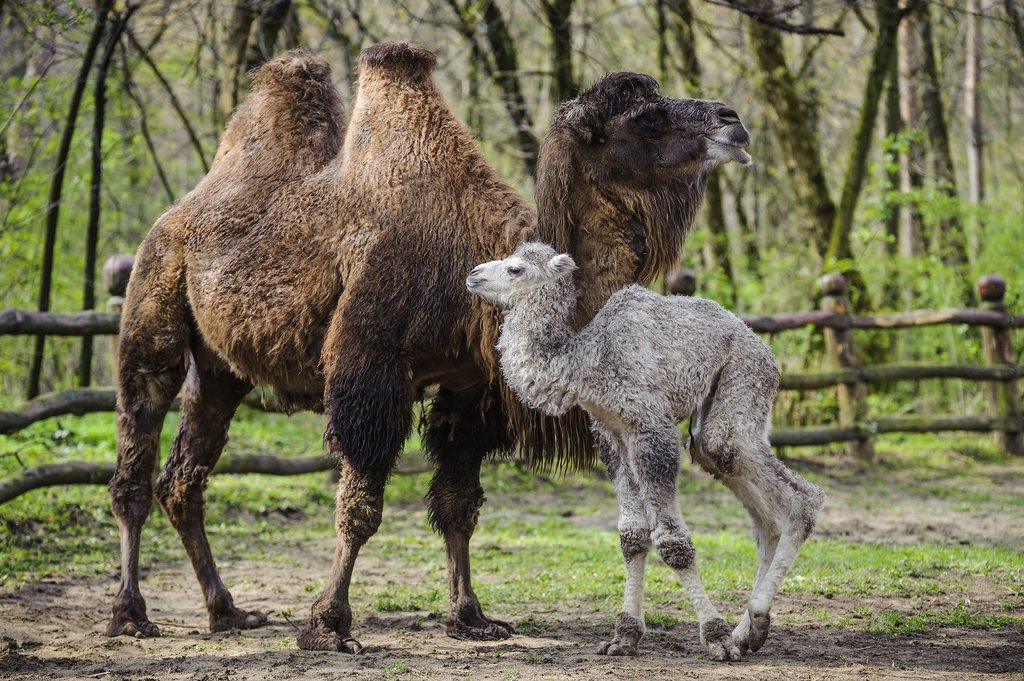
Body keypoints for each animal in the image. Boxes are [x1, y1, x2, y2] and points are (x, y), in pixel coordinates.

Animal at [108, 42, 753, 655]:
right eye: (648, 118)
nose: (734, 120)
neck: (471, 259)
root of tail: (177, 212)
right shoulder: (370, 367)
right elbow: (360, 508)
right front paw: (328, 625)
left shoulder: (471, 387)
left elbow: (458, 505)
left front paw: (470, 617)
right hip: (151, 305)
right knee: (136, 460)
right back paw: (131, 614)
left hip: (221, 369)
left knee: (184, 479)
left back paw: (227, 611)